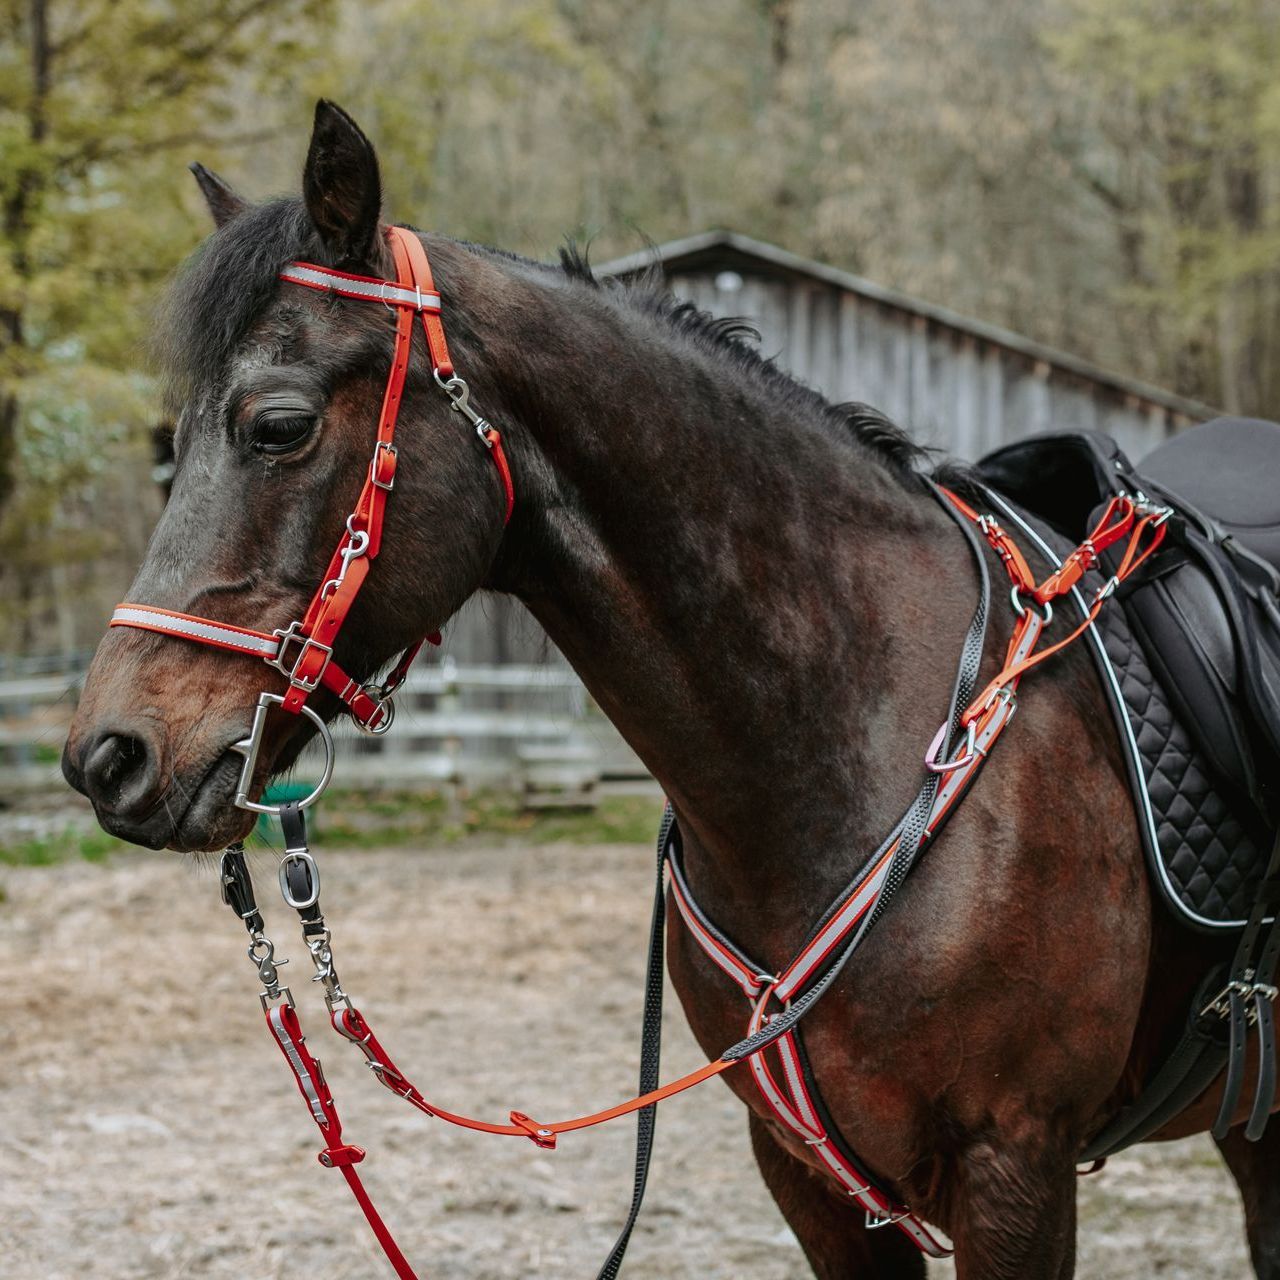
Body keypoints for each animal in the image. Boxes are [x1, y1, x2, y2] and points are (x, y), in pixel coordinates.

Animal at [62, 100, 1279, 1279]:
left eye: (279, 425)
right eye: (174, 440)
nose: (106, 755)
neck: (865, 737)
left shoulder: (1012, 1172)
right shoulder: (810, 1178)